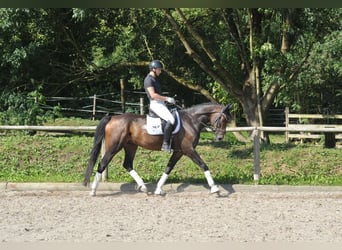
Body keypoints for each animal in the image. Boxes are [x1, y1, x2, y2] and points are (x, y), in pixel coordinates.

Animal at [82, 101, 232, 195]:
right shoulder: (188, 150)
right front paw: (214, 188)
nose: (220, 138)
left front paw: (159, 189)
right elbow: (203, 165)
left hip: (130, 146)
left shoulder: (179, 152)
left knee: (127, 164)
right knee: (102, 163)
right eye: (223, 119)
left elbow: (168, 168)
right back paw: (93, 191)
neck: (191, 120)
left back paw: (143, 187)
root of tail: (112, 117)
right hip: (114, 146)